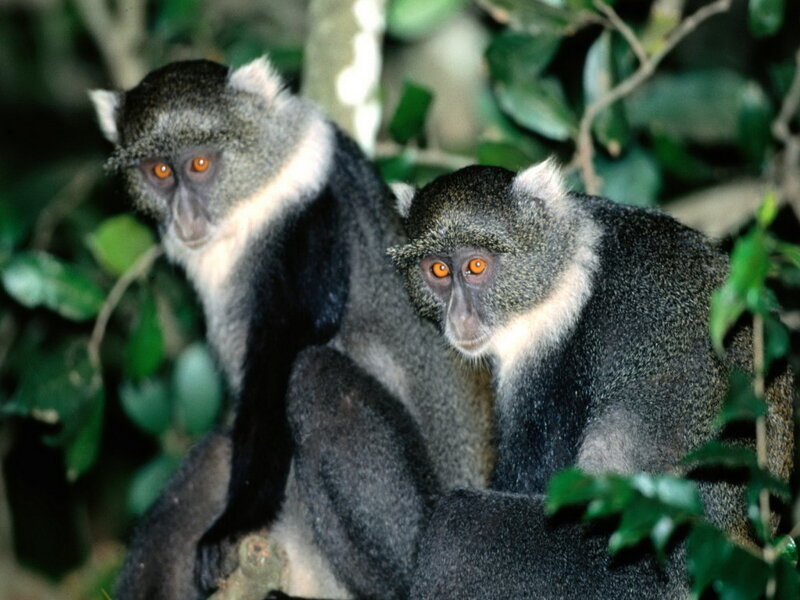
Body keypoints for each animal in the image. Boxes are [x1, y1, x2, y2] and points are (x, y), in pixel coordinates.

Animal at [91, 57, 494, 599]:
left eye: (200, 165)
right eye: (159, 171)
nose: (184, 216)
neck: (252, 198)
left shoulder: (311, 215)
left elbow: (284, 355)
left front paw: (234, 525)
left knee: (314, 377)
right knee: (214, 455)